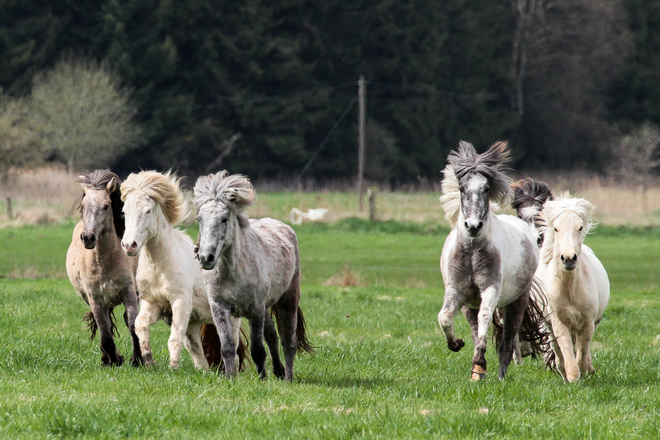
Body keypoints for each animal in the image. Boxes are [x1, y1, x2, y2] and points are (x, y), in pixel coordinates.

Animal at [65, 170, 142, 366]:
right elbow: (104, 332)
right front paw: (114, 359)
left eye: (106, 206)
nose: (88, 237)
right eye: (83, 206)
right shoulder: (95, 299)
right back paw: (106, 358)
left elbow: (132, 323)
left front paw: (137, 359)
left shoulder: (129, 292)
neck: (104, 263)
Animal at [120, 170, 246, 370]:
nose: (129, 245)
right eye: (124, 212)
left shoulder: (180, 302)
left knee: (231, 349)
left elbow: (174, 337)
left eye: (148, 210)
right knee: (196, 350)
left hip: (229, 318)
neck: (159, 267)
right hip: (194, 323)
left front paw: (172, 367)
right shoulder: (152, 303)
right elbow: (140, 325)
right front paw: (149, 360)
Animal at [193, 172, 314, 382]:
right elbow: (227, 347)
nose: (205, 257)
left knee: (288, 341)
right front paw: (230, 378)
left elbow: (258, 349)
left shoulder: (255, 309)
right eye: (200, 219)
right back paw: (279, 371)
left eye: (224, 219)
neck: (234, 272)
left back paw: (288, 377)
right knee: (272, 335)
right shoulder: (219, 307)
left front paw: (262, 379)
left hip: (288, 300)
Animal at [438, 142, 540, 382]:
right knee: (478, 331)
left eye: (485, 189)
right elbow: (445, 317)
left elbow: (485, 317)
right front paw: (457, 345)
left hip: (517, 301)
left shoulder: (490, 289)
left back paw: (500, 376)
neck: (473, 251)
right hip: (469, 305)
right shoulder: (457, 291)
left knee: (507, 342)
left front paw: (479, 362)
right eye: (461, 189)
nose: (473, 226)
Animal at [536, 192, 608, 382]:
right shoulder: (559, 322)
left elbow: (582, 352)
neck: (569, 289)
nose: (568, 259)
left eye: (580, 227)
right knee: (557, 350)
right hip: (549, 326)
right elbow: (566, 351)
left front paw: (584, 372)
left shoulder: (588, 322)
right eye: (556, 228)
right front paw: (573, 378)